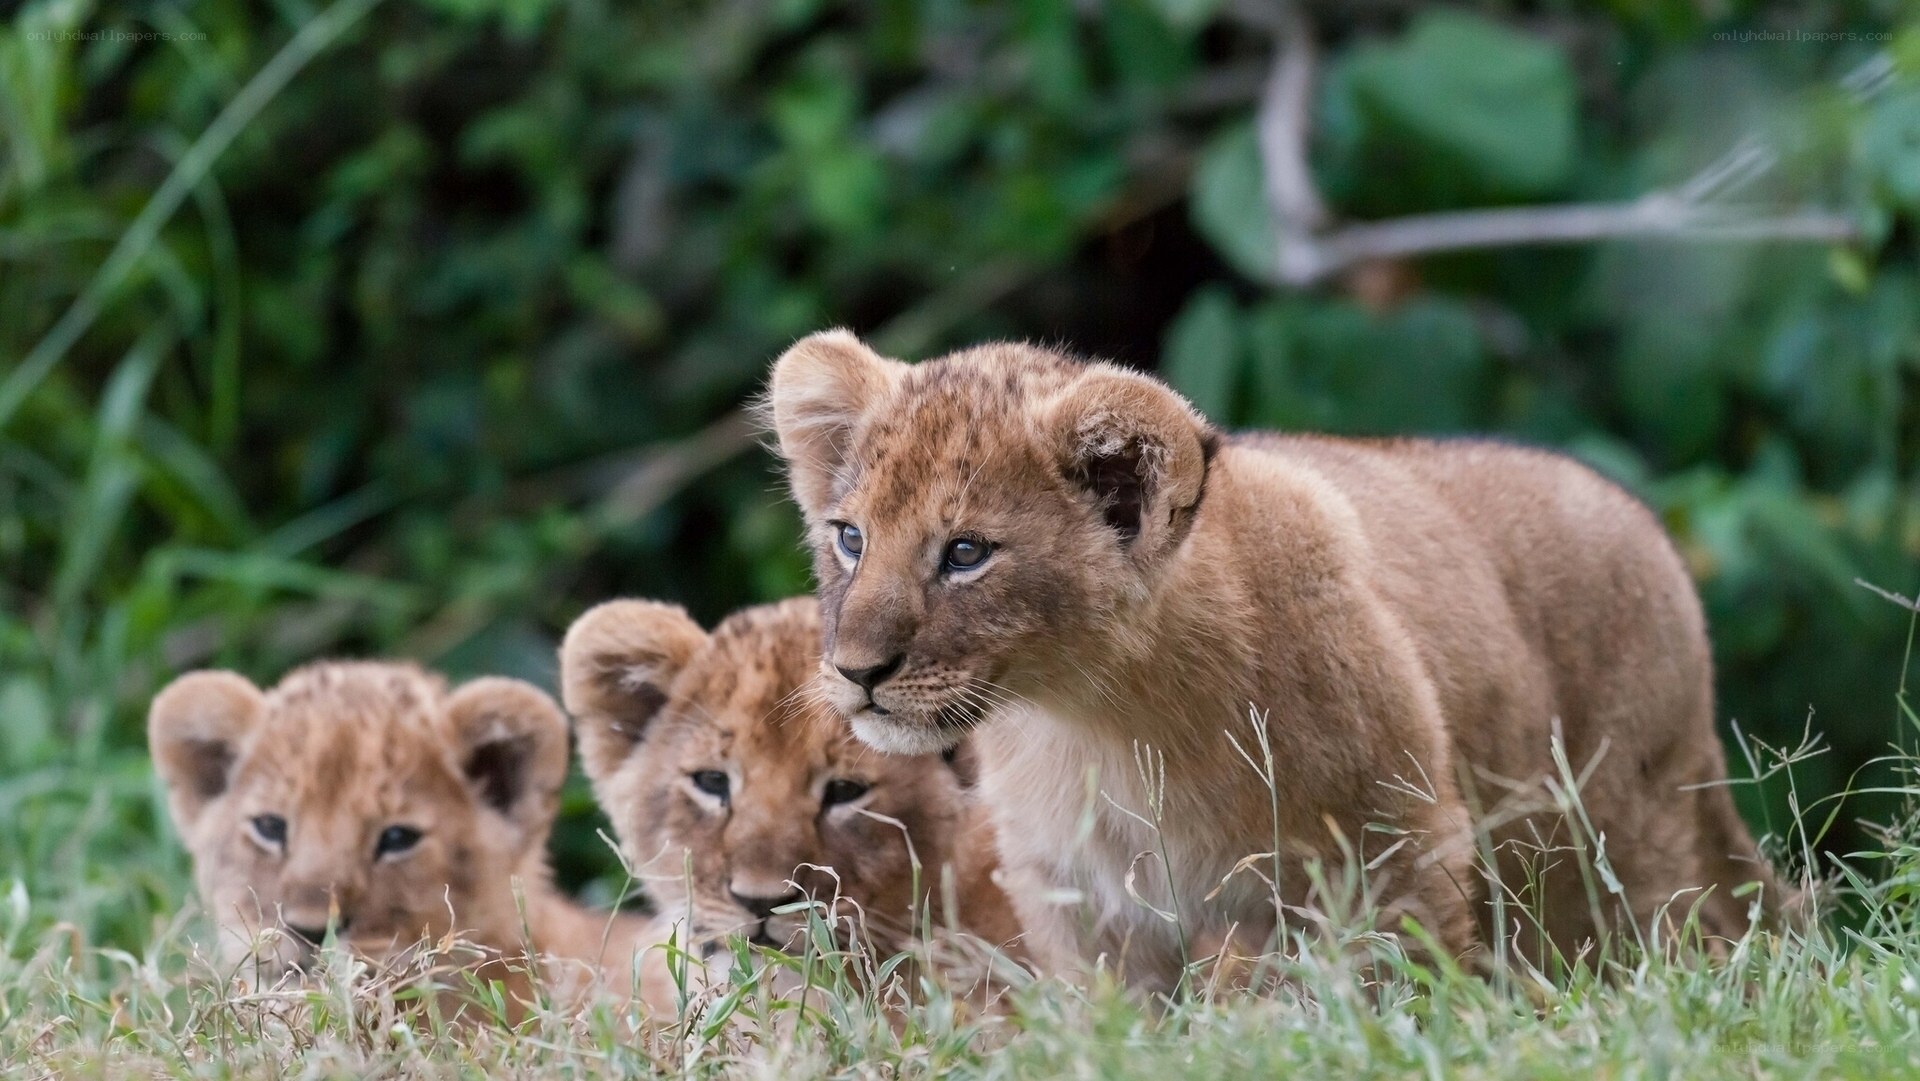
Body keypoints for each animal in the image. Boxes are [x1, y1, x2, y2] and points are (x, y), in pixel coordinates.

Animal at [765, 329, 1792, 993]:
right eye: (851, 538)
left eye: (967, 553)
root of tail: (1650, 527)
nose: (855, 671)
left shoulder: (1397, 849)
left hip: (1628, 834)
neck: (1102, 718)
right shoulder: (1085, 907)